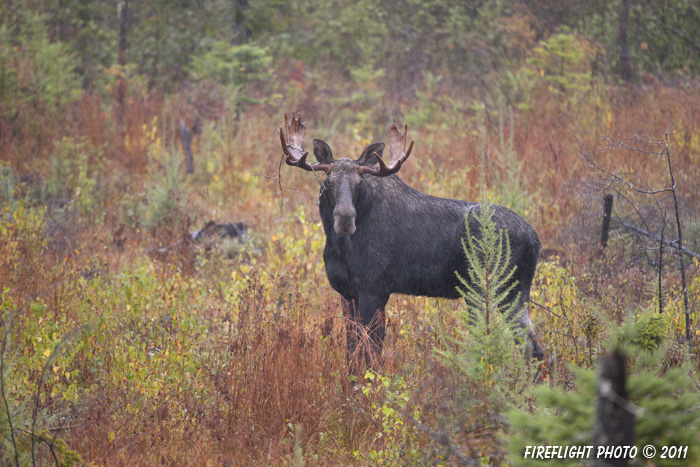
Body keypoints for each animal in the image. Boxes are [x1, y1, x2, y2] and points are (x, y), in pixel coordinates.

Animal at [278, 112, 540, 370]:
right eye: (328, 181)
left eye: (359, 183)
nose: (345, 220)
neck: (340, 247)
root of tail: (535, 240)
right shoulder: (347, 293)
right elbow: (352, 351)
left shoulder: (374, 289)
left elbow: (372, 353)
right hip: (514, 291)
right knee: (533, 346)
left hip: (486, 288)